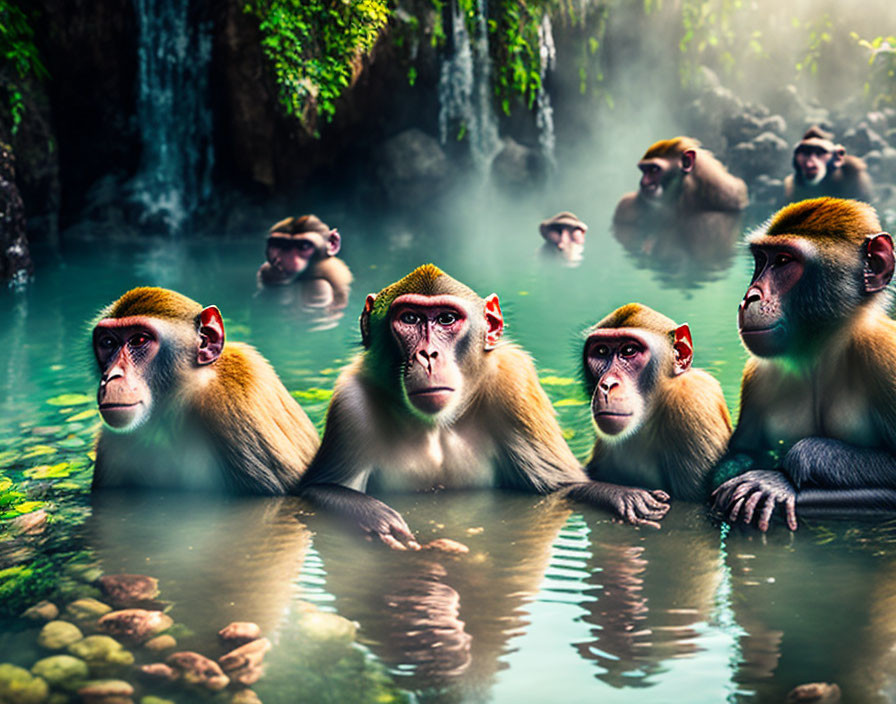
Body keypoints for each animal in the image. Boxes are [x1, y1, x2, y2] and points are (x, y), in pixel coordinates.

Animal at [298, 266, 668, 552]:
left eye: (446, 319)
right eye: (410, 318)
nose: (428, 355)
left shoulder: (516, 386)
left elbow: (562, 486)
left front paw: (617, 495)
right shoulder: (351, 404)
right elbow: (320, 490)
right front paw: (373, 517)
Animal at [712, 195, 896, 532]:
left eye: (784, 261)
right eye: (761, 260)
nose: (748, 298)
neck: (820, 349)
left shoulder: (885, 355)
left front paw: (777, 480)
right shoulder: (758, 375)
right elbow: (739, 454)